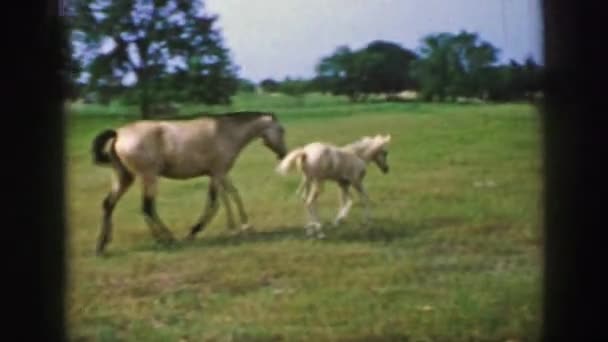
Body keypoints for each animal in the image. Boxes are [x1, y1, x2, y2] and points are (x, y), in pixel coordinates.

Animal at [91, 111, 288, 255]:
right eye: (281, 130)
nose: (283, 154)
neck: (226, 133)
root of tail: (118, 134)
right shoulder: (218, 173)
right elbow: (215, 203)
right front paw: (194, 231)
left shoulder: (220, 173)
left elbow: (232, 195)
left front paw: (242, 226)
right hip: (149, 177)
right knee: (147, 207)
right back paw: (167, 239)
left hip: (125, 177)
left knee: (109, 204)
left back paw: (102, 245)